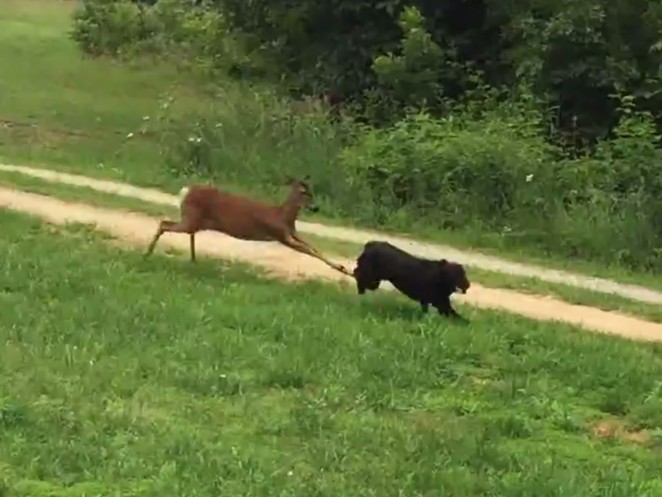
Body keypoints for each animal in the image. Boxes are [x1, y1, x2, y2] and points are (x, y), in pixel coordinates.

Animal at [143, 176, 352, 276]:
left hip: (196, 221)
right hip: (191, 218)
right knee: (164, 223)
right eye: (304, 193)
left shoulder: (292, 232)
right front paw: (345, 270)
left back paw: (192, 259)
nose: (316, 207)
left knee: (178, 228)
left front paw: (342, 267)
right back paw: (148, 253)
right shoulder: (280, 235)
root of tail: (185, 191)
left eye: (312, 192)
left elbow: (314, 247)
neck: (283, 216)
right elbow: (310, 251)